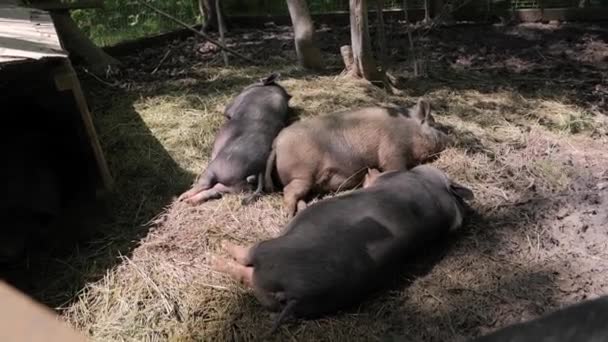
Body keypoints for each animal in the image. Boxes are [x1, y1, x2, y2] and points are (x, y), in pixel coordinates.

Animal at [177, 73, 290, 204]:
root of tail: (259, 170)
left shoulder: (234, 103)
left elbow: (226, 110)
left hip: (216, 168)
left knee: (205, 184)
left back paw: (182, 197)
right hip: (233, 187)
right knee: (214, 191)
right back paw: (187, 201)